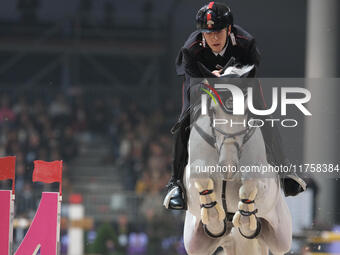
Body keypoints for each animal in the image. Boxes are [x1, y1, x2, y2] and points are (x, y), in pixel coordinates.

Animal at [183, 66, 292, 255]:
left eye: (247, 111)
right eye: (213, 111)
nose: (228, 167)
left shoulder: (267, 179)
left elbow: (251, 181)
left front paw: (244, 218)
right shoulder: (190, 174)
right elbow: (199, 174)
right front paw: (214, 219)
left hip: (281, 235)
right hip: (194, 243)